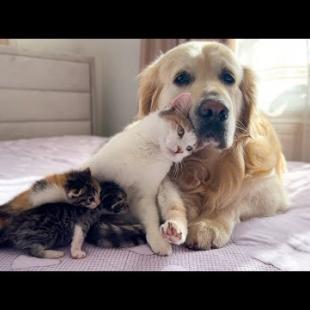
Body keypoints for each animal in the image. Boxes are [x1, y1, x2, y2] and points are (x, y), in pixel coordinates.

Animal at [0, 180, 128, 258]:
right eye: (121, 200)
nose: (128, 206)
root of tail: (11, 227)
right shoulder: (82, 220)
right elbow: (79, 236)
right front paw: (76, 252)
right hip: (47, 231)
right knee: (33, 251)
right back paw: (55, 254)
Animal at [72, 92, 199, 256]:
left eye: (189, 148)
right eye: (180, 131)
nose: (179, 150)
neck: (150, 153)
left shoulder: (144, 195)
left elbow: (151, 218)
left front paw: (158, 240)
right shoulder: (93, 167)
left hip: (166, 189)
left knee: (175, 211)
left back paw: (173, 231)